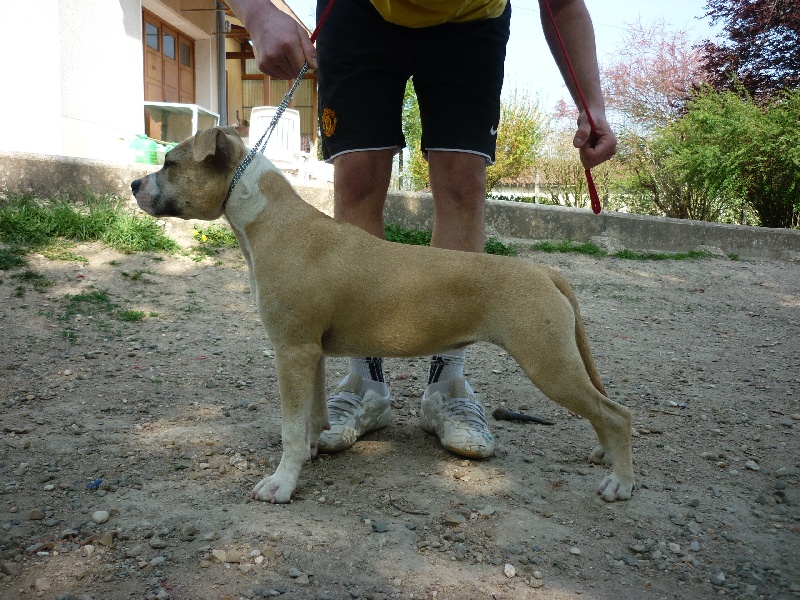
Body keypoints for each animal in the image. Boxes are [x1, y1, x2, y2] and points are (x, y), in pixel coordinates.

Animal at [130, 127, 632, 506]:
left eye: (170, 163)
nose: (135, 185)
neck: (271, 219)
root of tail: (545, 271)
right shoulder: (309, 353)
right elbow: (312, 416)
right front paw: (312, 452)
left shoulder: (290, 351)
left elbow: (290, 427)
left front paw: (281, 483)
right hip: (558, 364)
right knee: (602, 412)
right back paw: (605, 456)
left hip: (549, 364)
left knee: (616, 413)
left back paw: (620, 482)